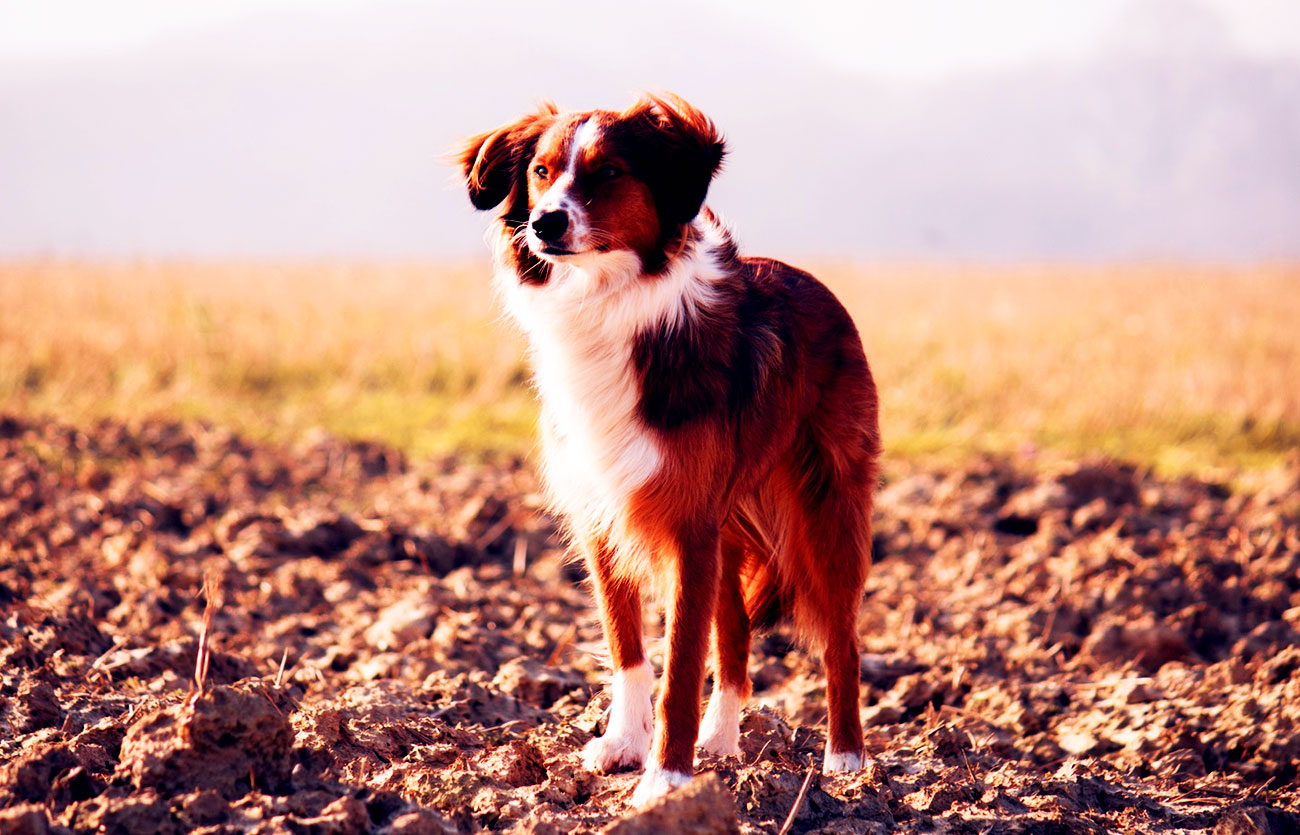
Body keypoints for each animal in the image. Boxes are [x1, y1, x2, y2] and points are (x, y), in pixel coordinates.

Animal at [460, 94, 883, 801]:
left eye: (608, 173)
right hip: (729, 524)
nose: (545, 224)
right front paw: (624, 746)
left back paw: (846, 761)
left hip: (826, 507)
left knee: (840, 639)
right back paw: (722, 742)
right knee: (735, 633)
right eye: (541, 171)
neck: (605, 300)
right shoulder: (604, 511)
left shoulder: (688, 522)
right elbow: (628, 649)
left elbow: (682, 659)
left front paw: (666, 778)